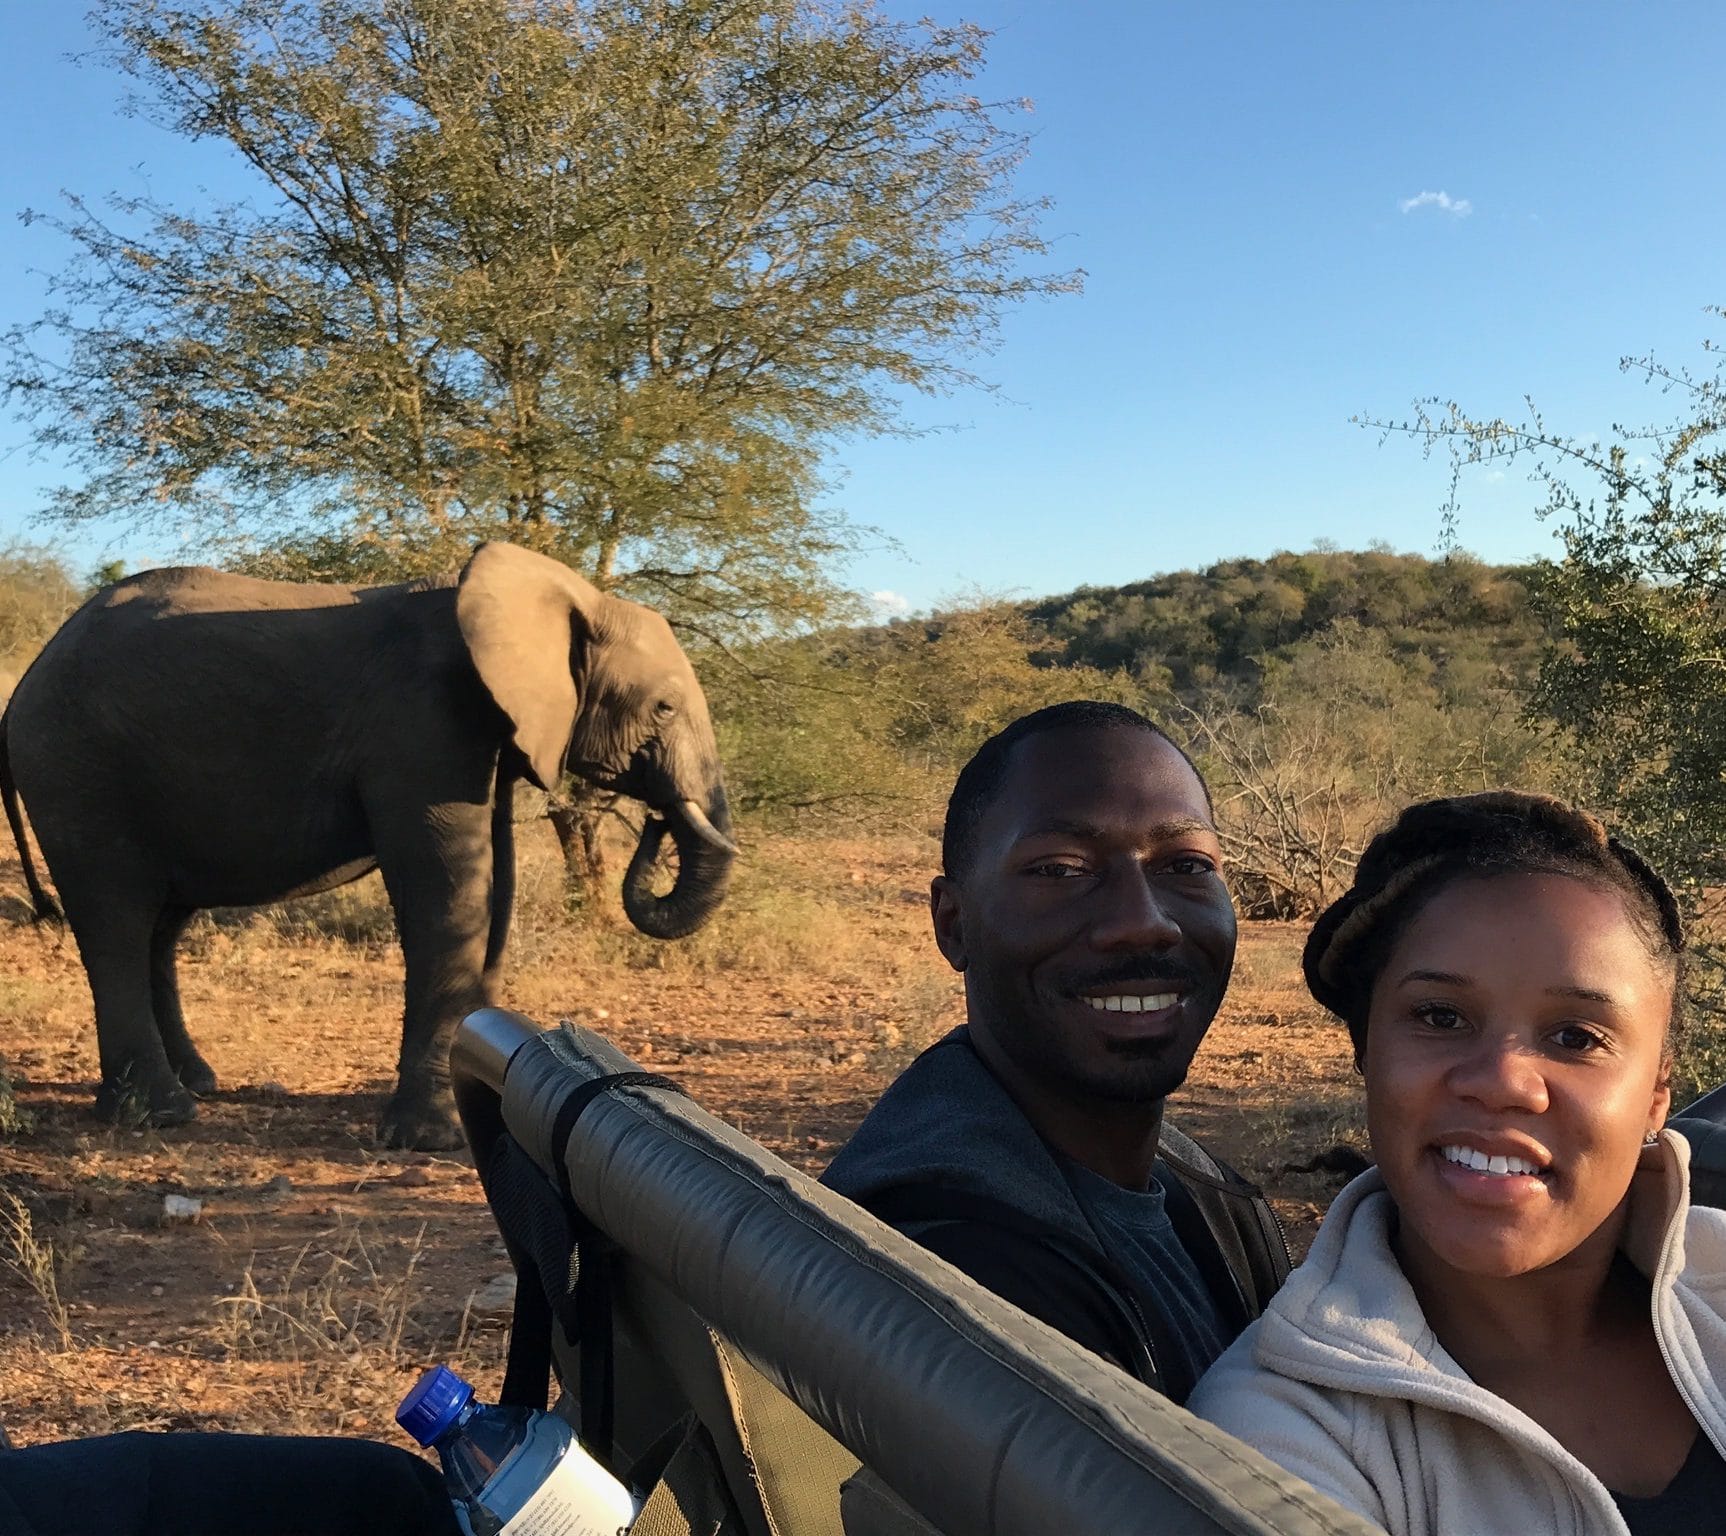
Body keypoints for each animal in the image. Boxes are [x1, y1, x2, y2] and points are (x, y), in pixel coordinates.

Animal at [0, 545, 735, 1145]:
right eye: (665, 708)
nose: (657, 821)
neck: (563, 591)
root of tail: (21, 691)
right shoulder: (423, 721)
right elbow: (445, 889)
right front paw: (429, 1139)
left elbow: (494, 886)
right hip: (77, 771)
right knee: (116, 919)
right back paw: (161, 1115)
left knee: (160, 924)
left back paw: (195, 1085)